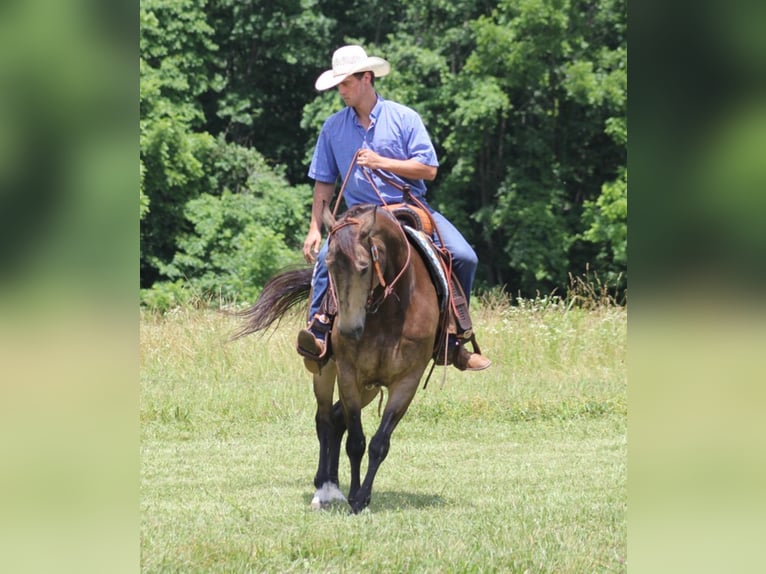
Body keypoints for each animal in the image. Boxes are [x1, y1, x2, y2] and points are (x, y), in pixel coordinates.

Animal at [234, 205, 440, 516]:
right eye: (328, 264)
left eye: (364, 266)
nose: (348, 330)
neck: (391, 314)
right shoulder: (347, 373)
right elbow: (356, 441)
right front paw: (355, 496)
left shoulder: (407, 381)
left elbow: (379, 443)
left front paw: (362, 497)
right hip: (326, 373)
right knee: (324, 420)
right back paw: (324, 488)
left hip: (370, 388)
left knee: (335, 418)